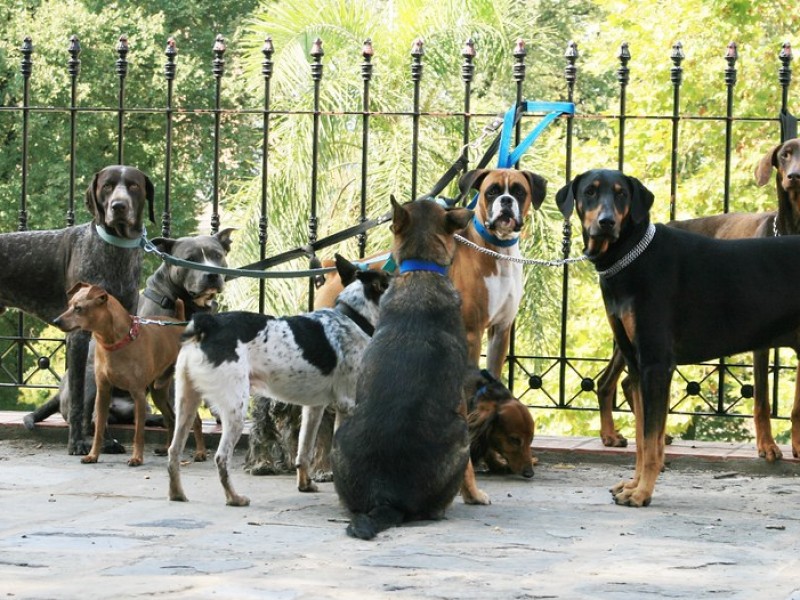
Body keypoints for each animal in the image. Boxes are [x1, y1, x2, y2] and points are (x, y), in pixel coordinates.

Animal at [0, 165, 153, 454]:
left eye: (134, 185)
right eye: (107, 186)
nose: (118, 206)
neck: (114, 250)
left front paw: (104, 442)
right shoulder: (79, 336)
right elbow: (81, 396)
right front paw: (78, 443)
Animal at [52, 284, 187, 466]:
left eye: (78, 308)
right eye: (69, 305)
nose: (56, 321)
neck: (116, 342)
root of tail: (179, 322)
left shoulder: (138, 394)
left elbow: (138, 432)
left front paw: (137, 458)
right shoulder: (103, 392)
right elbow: (99, 429)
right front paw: (93, 455)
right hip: (158, 390)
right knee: (171, 419)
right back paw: (167, 450)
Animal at [169, 253, 390, 506]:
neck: (353, 317)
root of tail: (208, 324)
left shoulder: (314, 407)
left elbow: (304, 450)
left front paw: (305, 484)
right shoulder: (347, 405)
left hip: (186, 404)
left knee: (173, 451)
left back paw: (177, 493)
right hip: (235, 410)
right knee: (221, 457)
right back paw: (234, 497)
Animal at [330, 197, 490, 540]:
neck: (421, 268)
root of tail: (386, 497)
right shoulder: (461, 396)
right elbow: (471, 471)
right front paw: (474, 494)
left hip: (341, 436)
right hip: (461, 435)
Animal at [556, 169, 800, 506]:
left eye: (621, 194)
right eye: (590, 192)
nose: (606, 222)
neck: (631, 255)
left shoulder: (656, 365)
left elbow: (650, 441)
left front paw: (642, 493)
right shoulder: (638, 365)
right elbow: (644, 439)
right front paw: (633, 485)